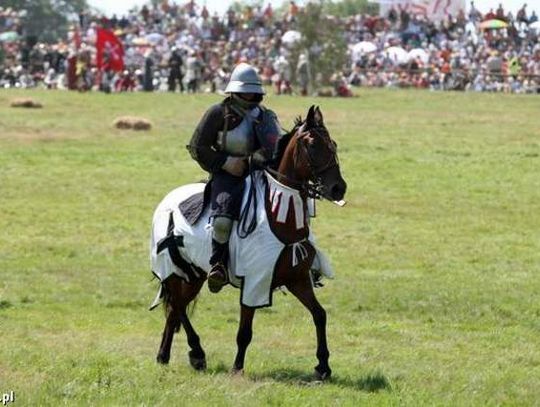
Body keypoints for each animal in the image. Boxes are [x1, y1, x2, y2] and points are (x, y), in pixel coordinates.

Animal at [153, 105, 346, 380]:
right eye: (311, 145)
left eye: (333, 144)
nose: (338, 188)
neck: (280, 217)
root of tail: (167, 200)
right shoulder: (254, 282)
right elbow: (244, 330)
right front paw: (237, 367)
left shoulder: (298, 279)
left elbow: (320, 315)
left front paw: (323, 366)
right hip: (173, 270)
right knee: (177, 304)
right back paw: (197, 352)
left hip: (194, 274)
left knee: (173, 309)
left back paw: (164, 355)